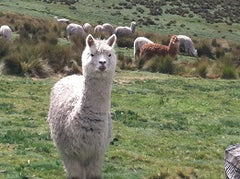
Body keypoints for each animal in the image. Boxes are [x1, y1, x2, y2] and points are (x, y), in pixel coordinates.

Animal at [47, 34, 117, 179]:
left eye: (109, 54)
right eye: (92, 54)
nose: (102, 63)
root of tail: (73, 75)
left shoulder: (97, 153)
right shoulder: (69, 153)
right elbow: (75, 175)